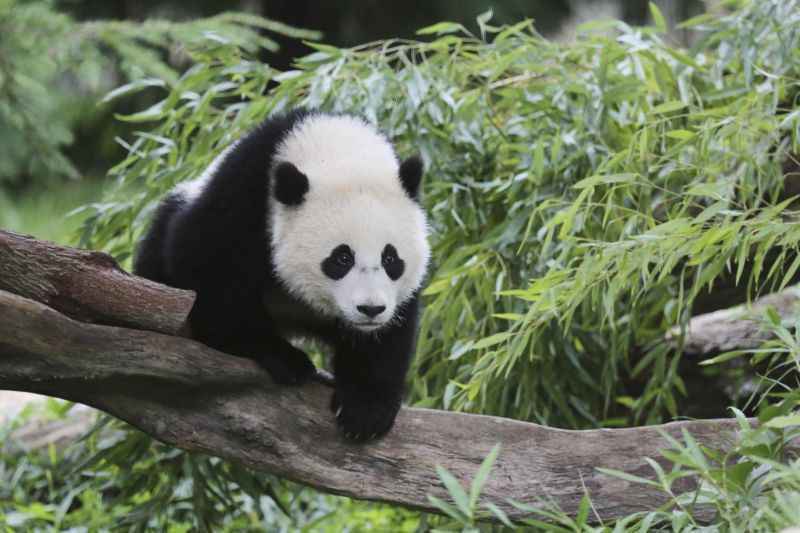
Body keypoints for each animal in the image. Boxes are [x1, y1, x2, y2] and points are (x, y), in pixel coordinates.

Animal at [133, 109, 431, 441]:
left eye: (390, 258)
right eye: (342, 258)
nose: (370, 309)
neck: (334, 148)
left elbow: (388, 336)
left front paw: (365, 411)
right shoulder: (243, 194)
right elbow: (209, 273)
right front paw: (282, 357)